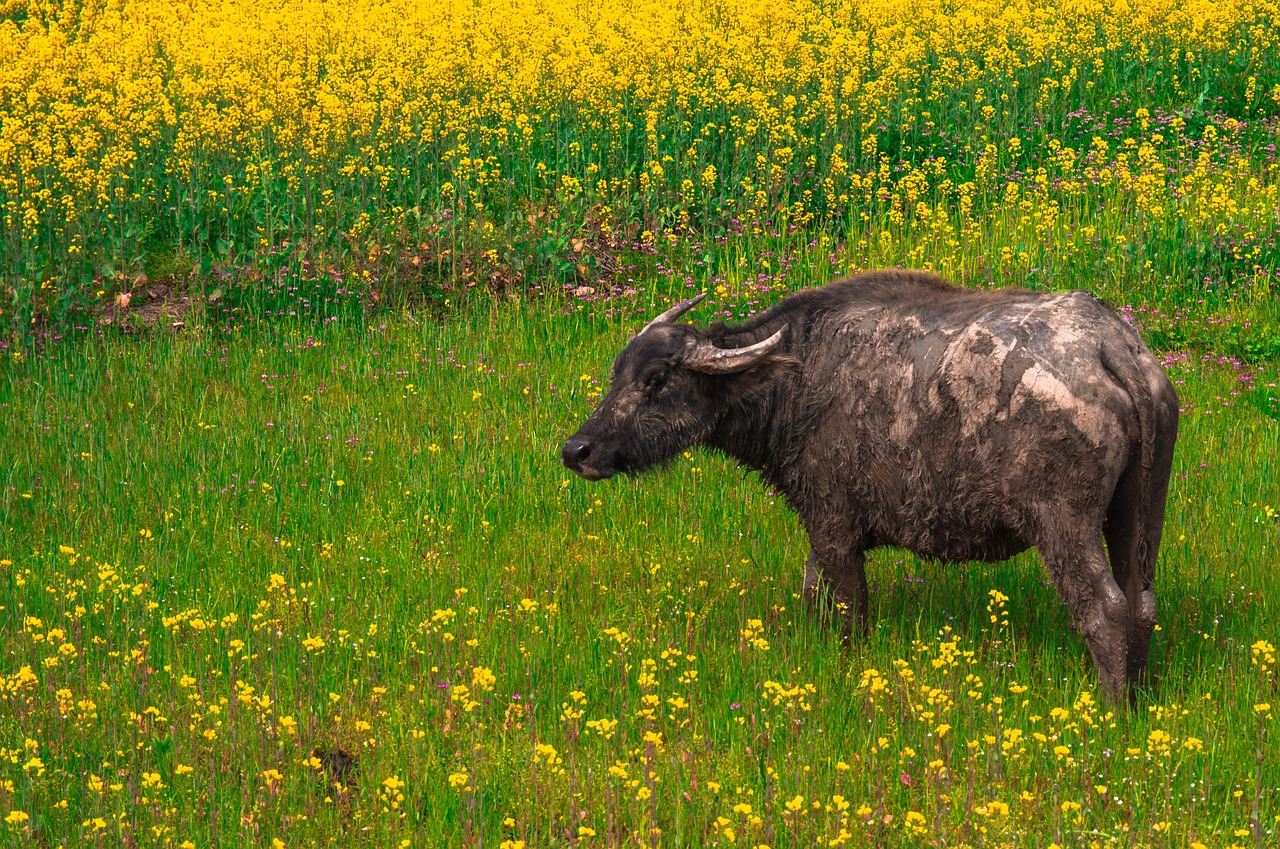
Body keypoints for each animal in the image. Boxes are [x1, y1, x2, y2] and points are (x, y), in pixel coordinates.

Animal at [563, 270, 1177, 701]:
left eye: (656, 380)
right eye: (618, 372)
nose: (577, 451)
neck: (798, 376)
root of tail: (1111, 347)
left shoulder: (833, 525)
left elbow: (849, 608)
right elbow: (813, 592)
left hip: (1064, 523)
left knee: (1104, 608)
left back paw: (1111, 707)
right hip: (1138, 517)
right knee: (1142, 603)